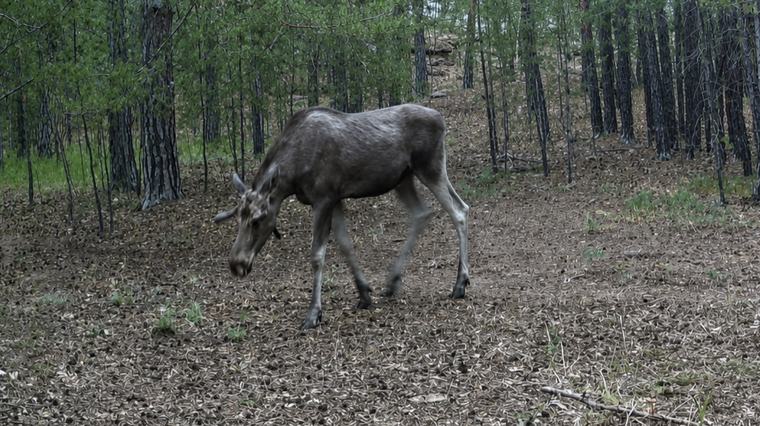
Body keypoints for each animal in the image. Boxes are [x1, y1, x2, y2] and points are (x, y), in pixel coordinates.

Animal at [213, 104, 470, 329]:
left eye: (257, 220)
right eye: (238, 219)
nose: (236, 264)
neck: (291, 177)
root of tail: (441, 119)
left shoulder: (323, 198)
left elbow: (317, 255)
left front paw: (314, 313)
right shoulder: (335, 199)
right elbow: (345, 244)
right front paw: (364, 293)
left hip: (430, 167)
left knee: (459, 211)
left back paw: (460, 284)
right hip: (403, 179)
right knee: (424, 212)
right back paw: (393, 280)